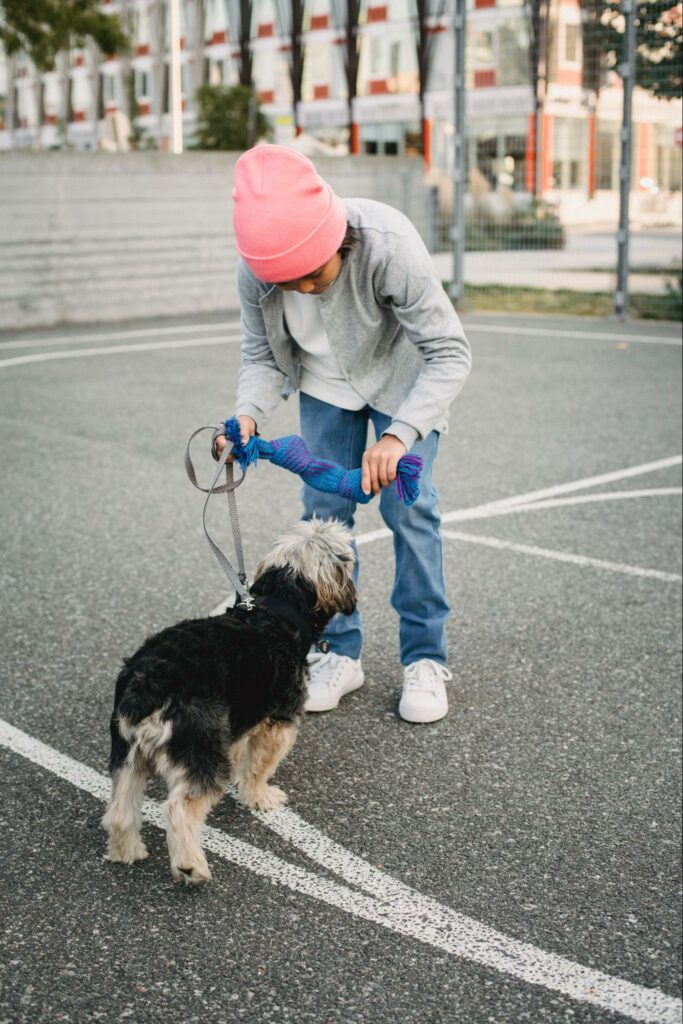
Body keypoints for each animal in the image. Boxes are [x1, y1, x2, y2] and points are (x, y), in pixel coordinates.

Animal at [102, 516, 358, 884]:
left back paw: (127, 853)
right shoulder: (277, 724)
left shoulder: (240, 720)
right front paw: (259, 797)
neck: (278, 608)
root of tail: (148, 681)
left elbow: (240, 754)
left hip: (129, 755)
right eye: (349, 558)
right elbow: (259, 767)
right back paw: (190, 866)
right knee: (179, 808)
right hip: (201, 751)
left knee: (120, 810)